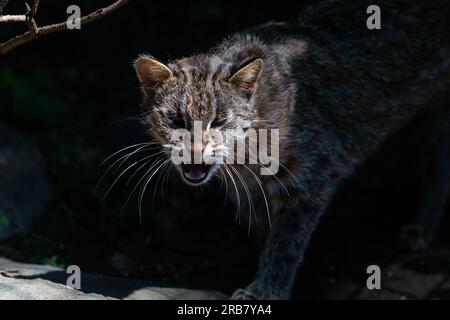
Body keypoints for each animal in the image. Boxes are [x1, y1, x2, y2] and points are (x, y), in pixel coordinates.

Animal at [129, 0, 446, 300]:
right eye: (176, 120)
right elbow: (266, 234)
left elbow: (285, 243)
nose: (195, 149)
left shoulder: (311, 180)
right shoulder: (253, 194)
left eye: (218, 120)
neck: (246, 155)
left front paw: (267, 288)